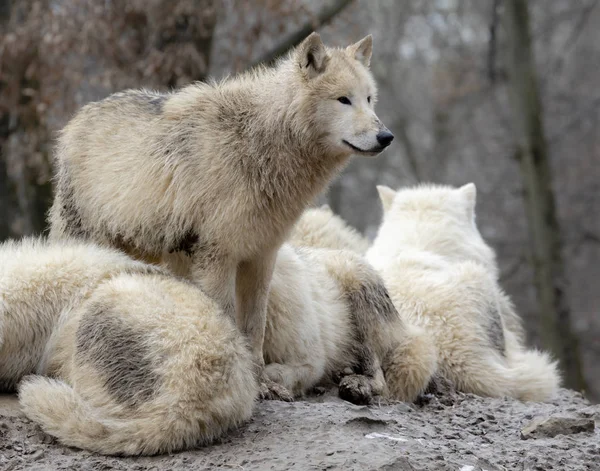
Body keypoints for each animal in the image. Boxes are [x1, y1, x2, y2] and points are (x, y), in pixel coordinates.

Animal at [47, 32, 394, 398]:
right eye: (343, 100)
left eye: (369, 99)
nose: (386, 136)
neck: (260, 144)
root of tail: (80, 116)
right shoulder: (218, 256)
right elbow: (227, 319)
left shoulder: (261, 255)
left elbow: (255, 327)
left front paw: (260, 382)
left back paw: (358, 384)